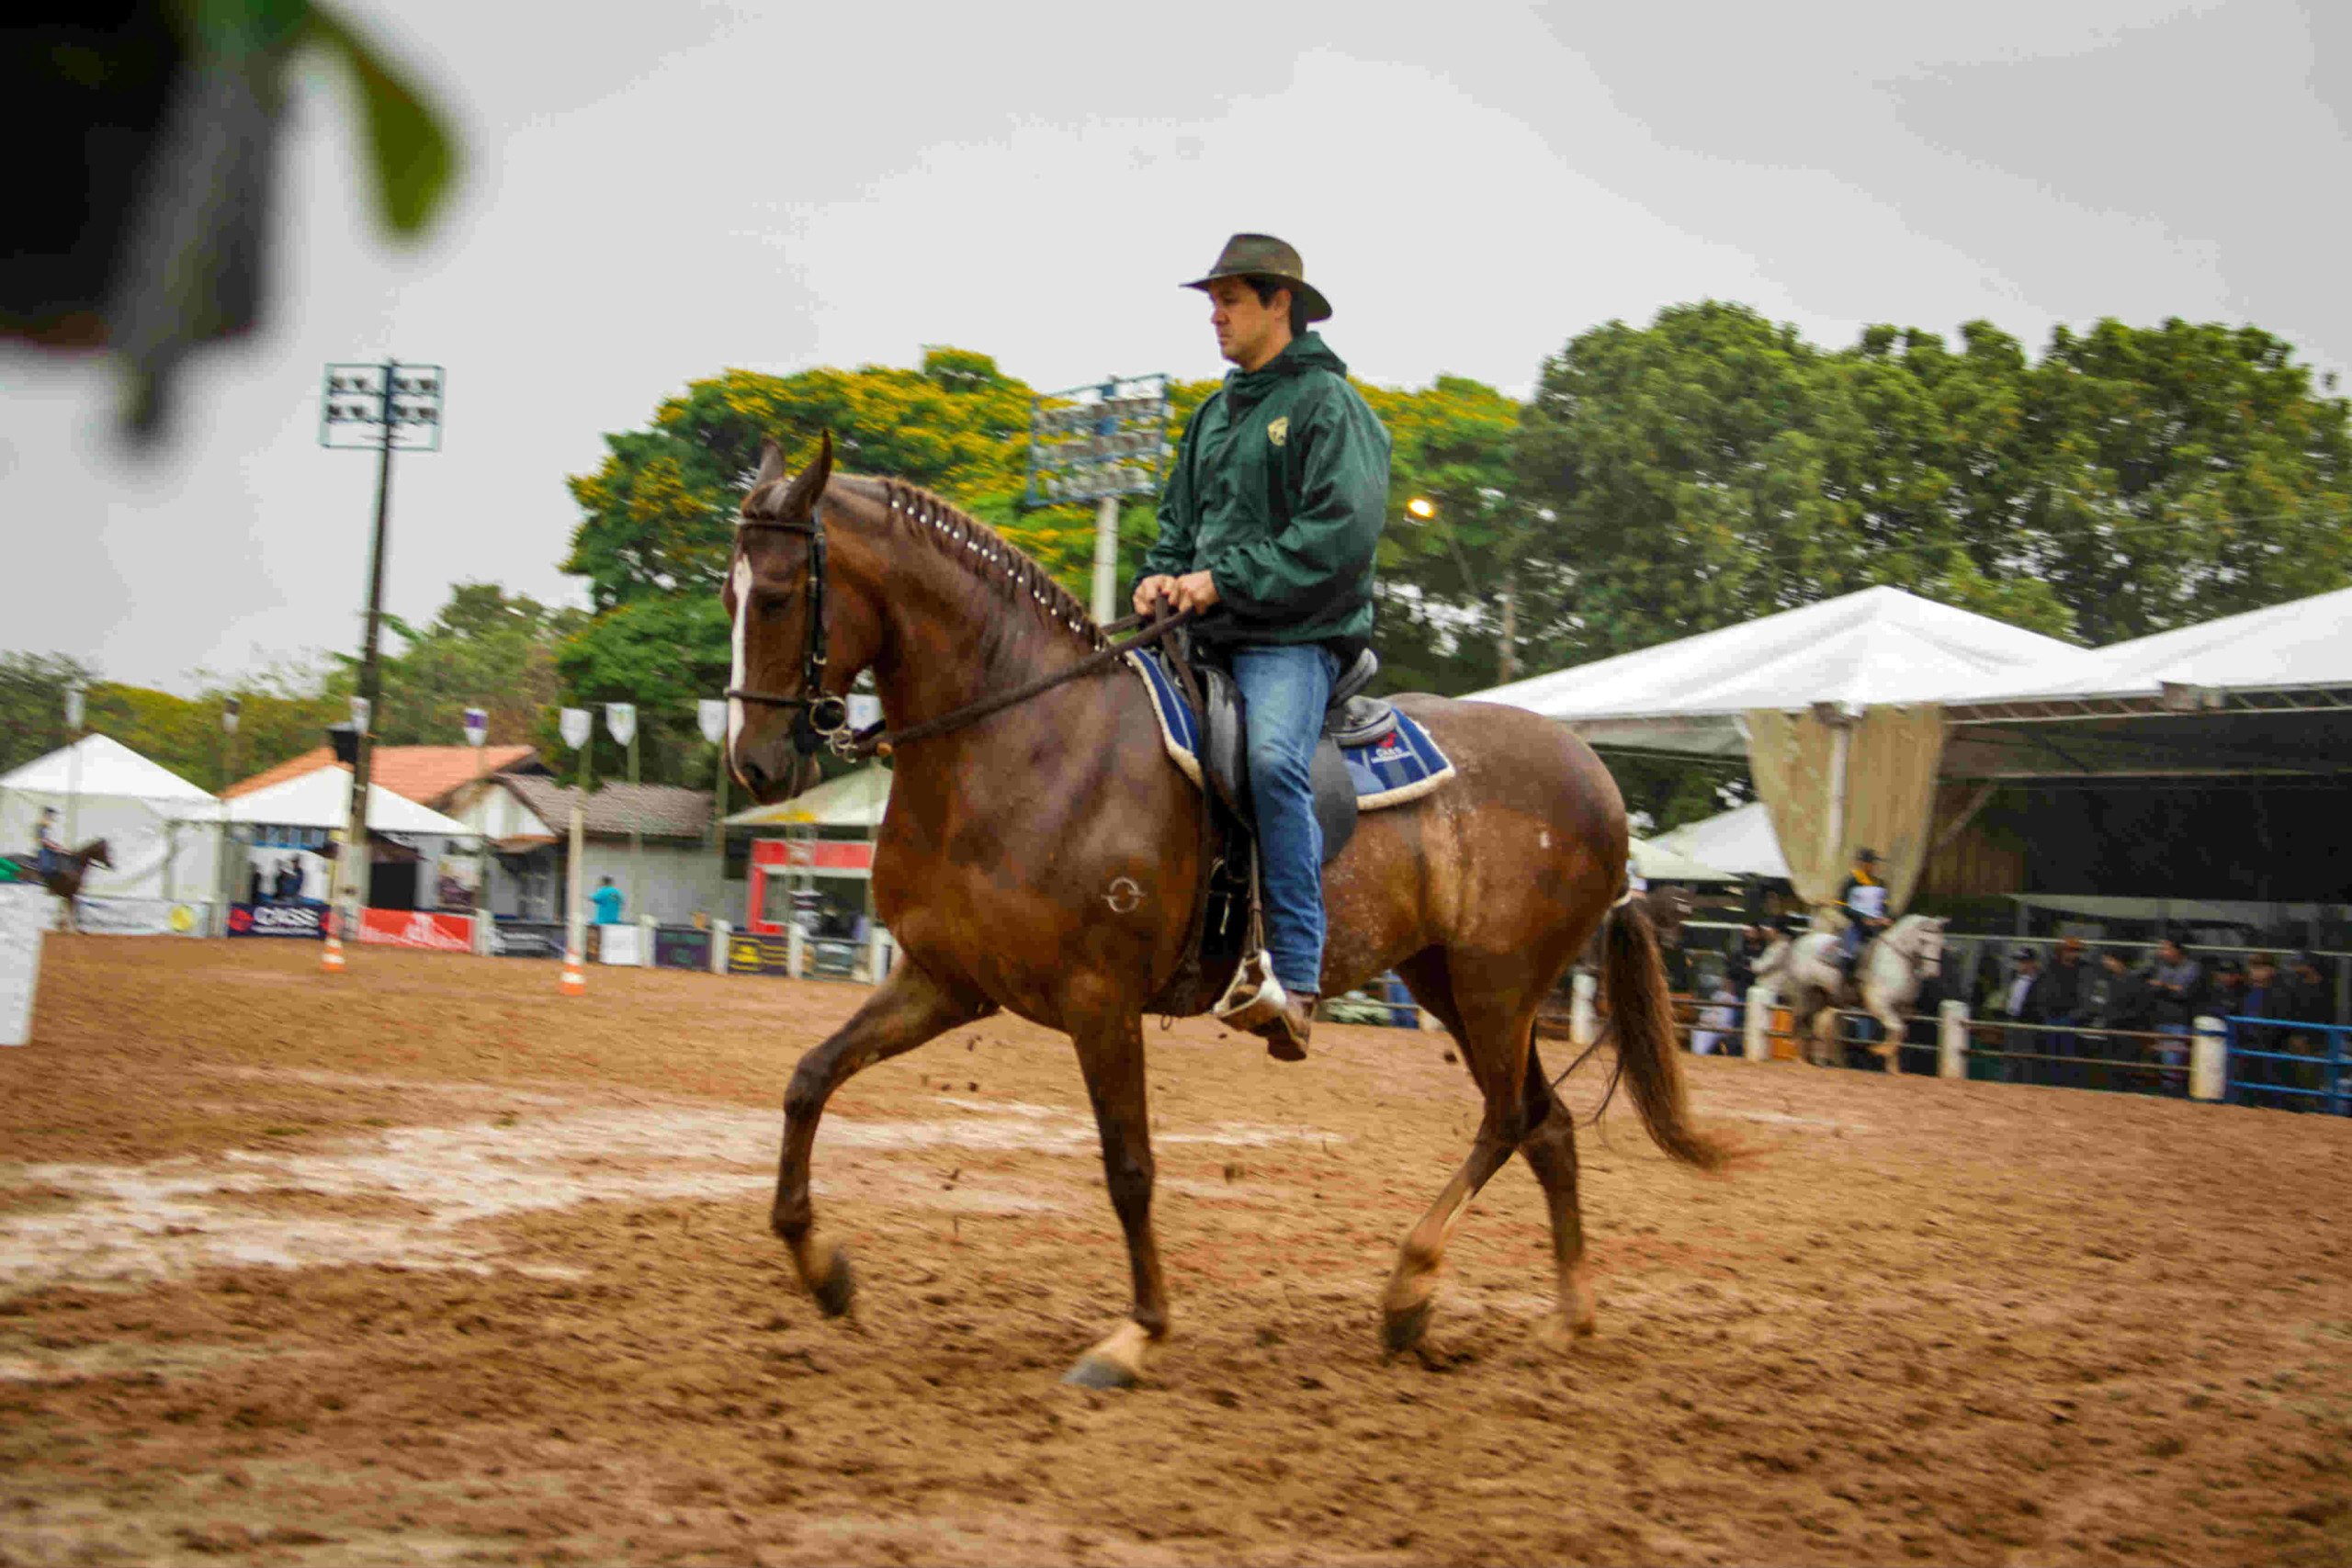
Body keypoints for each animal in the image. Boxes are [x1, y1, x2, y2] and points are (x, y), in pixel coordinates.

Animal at [719, 439, 1731, 1382]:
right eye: (730, 594)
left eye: (775, 597)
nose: (755, 763)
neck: (1027, 740)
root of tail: (1596, 778)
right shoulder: (945, 981)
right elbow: (808, 1079)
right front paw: (821, 1267)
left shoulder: (1099, 999)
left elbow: (1129, 1167)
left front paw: (1136, 1333)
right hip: (1447, 979)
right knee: (1546, 1127)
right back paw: (1561, 1316)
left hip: (1496, 988)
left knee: (1512, 1120)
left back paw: (1411, 1286)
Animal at [1758, 911, 1938, 1072]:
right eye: (1923, 941)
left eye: (1940, 943)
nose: (1932, 973)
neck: (1894, 961)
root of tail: (1800, 942)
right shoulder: (1878, 1004)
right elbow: (1897, 1028)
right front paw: (1879, 1050)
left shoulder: (1903, 1010)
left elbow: (1900, 1031)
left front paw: (1893, 1067)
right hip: (1804, 994)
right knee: (1800, 1023)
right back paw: (1801, 1060)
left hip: (1821, 998)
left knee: (1813, 1026)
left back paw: (1814, 1060)